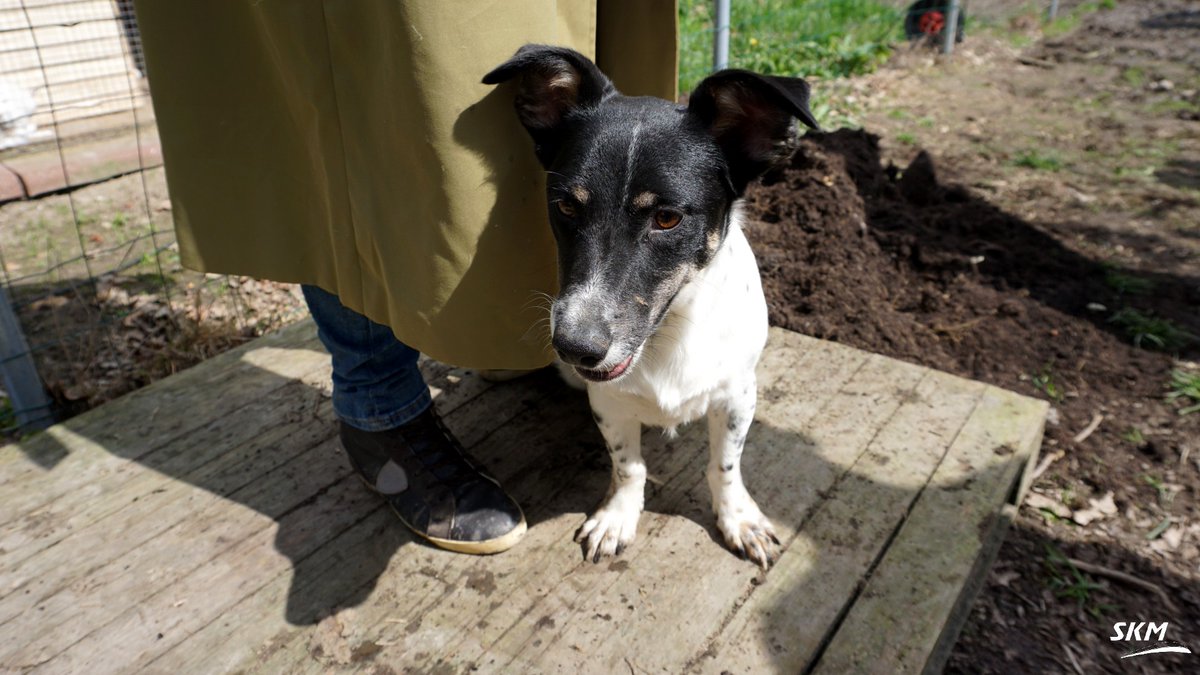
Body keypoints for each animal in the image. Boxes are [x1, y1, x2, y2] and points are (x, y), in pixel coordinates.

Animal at [482, 44, 820, 564]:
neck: (671, 333)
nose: (575, 348)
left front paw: (739, 518)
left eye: (667, 218)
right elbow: (628, 465)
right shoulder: (607, 400)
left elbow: (725, 465)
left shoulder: (738, 394)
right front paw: (618, 516)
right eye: (565, 206)